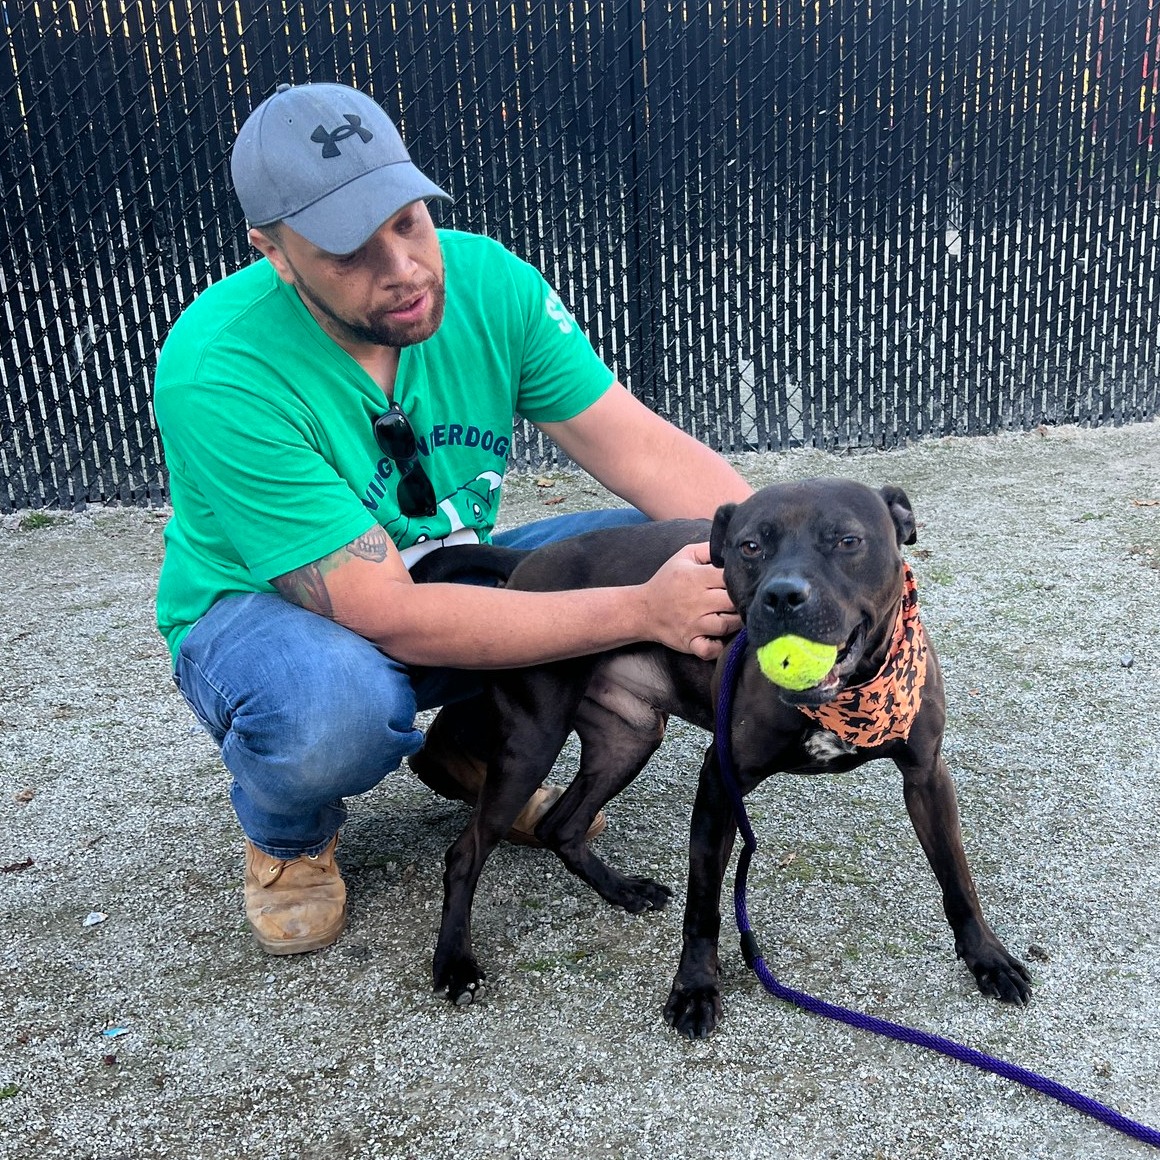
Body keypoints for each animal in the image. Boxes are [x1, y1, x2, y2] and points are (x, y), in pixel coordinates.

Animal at [412, 480, 1030, 1034]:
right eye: (750, 546)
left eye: (847, 540)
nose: (783, 596)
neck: (846, 698)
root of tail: (529, 559)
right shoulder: (719, 784)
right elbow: (704, 904)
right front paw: (695, 990)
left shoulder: (927, 776)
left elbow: (957, 876)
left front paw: (987, 958)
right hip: (531, 746)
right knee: (466, 852)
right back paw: (455, 964)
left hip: (627, 740)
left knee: (562, 825)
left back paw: (622, 891)